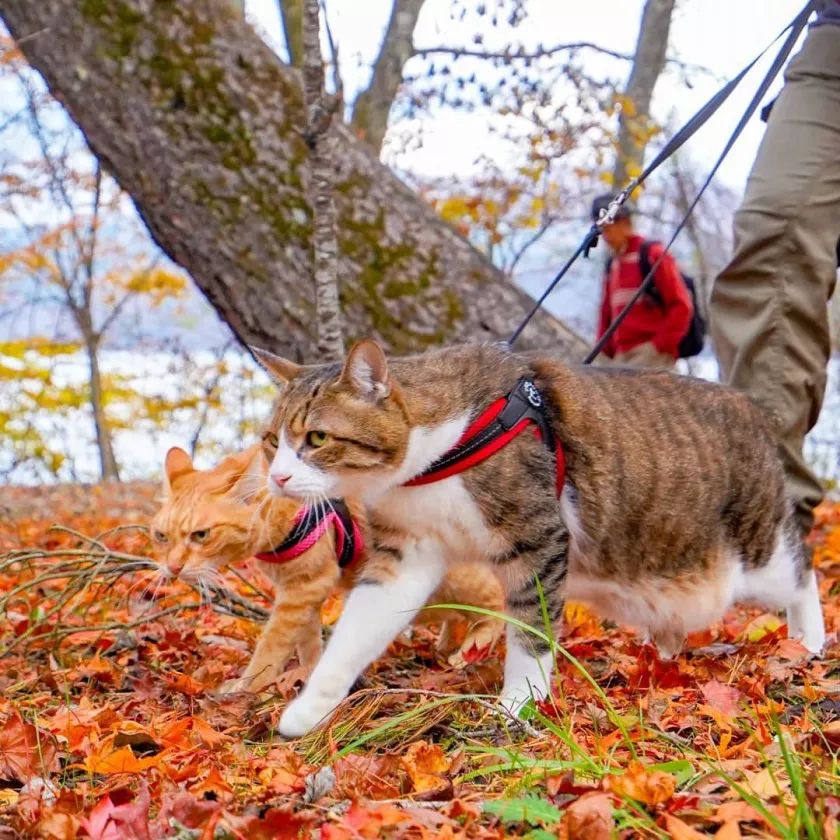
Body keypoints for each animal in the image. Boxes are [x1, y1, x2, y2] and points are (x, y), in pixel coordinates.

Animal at [151, 442, 506, 692]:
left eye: (201, 535)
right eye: (161, 536)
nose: (173, 567)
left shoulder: (303, 588)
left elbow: (271, 646)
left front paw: (248, 686)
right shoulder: (303, 592)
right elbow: (307, 643)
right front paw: (309, 673)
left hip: (452, 581)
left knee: (496, 599)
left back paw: (475, 644)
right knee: (458, 614)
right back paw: (447, 646)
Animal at [251, 340, 828, 736]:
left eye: (317, 438)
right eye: (271, 440)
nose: (277, 478)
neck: (435, 459)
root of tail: (753, 410)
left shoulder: (538, 538)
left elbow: (530, 632)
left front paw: (517, 704)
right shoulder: (408, 552)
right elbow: (356, 632)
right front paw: (309, 708)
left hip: (755, 552)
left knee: (801, 570)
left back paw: (808, 642)